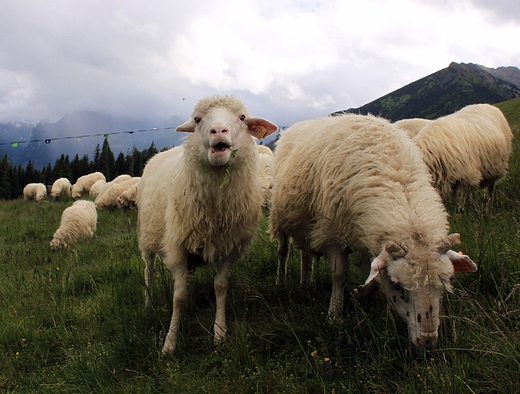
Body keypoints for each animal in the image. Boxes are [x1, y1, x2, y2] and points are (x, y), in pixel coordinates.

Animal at [136, 94, 278, 354]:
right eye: (197, 119)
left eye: (242, 117)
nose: (218, 131)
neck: (215, 210)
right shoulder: (178, 247)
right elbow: (179, 297)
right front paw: (170, 343)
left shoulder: (230, 246)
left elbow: (220, 286)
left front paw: (219, 332)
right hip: (146, 237)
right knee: (149, 272)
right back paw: (148, 305)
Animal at [270, 114, 478, 348]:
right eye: (398, 286)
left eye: (444, 284)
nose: (426, 340)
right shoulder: (332, 234)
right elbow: (339, 275)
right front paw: (334, 315)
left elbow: (375, 276)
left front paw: (361, 294)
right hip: (282, 219)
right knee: (284, 251)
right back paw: (281, 282)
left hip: (308, 226)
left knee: (306, 253)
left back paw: (307, 283)